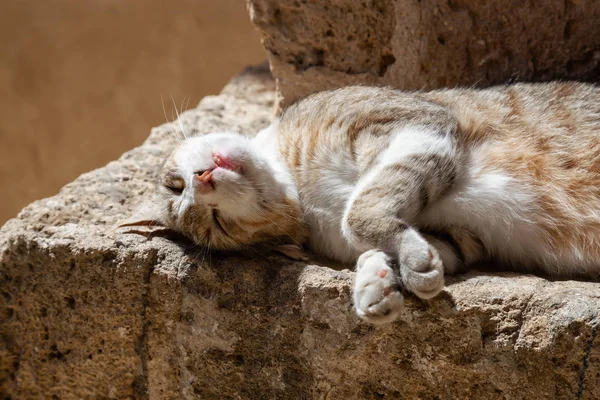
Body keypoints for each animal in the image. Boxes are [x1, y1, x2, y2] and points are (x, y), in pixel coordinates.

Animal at [119, 81, 600, 324]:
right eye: (219, 224)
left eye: (175, 185)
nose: (201, 180)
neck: (301, 188)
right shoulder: (461, 239)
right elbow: (408, 244)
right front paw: (378, 282)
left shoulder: (414, 124)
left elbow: (360, 212)